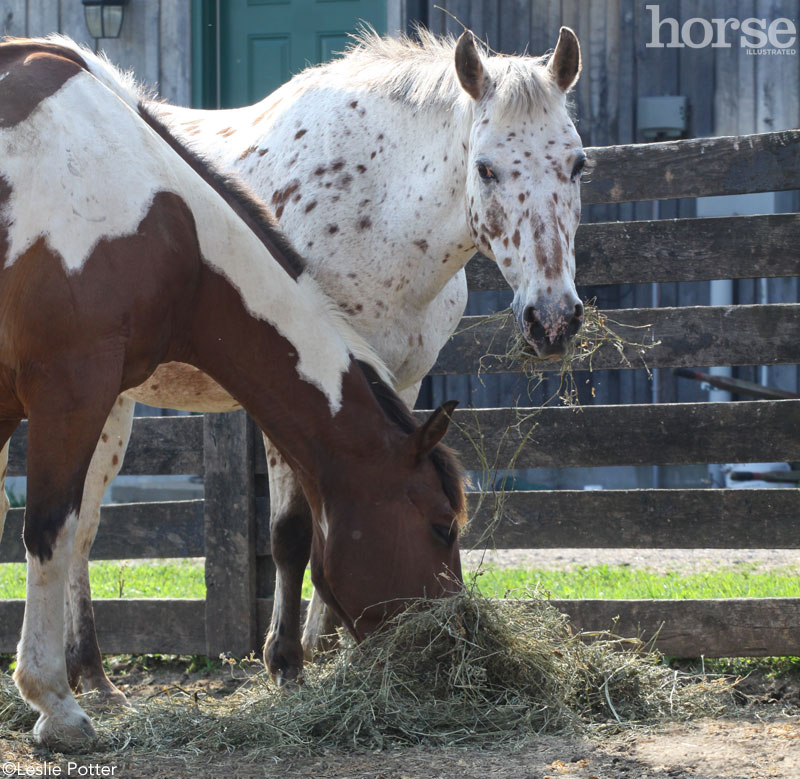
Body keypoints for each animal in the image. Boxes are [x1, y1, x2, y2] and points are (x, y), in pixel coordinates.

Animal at [0, 27, 588, 700]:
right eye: (486, 167)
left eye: (578, 164)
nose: (553, 319)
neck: (377, 200)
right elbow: (290, 535)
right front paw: (284, 659)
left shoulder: (404, 386)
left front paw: (331, 645)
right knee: (80, 531)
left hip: (111, 406)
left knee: (84, 530)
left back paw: (90, 672)